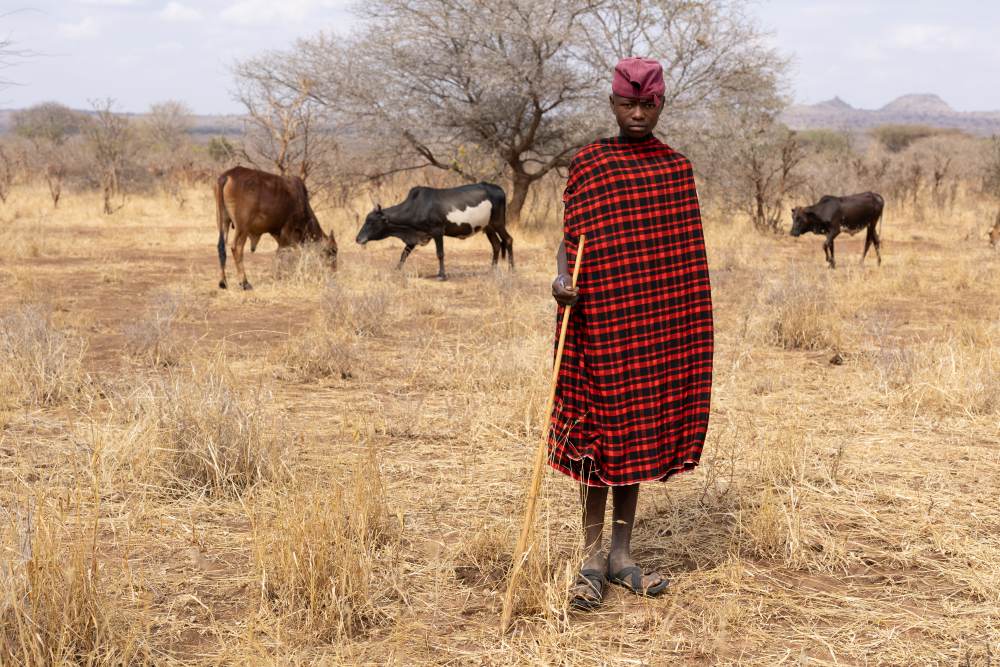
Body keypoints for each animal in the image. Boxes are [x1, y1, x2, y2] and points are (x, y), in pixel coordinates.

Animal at [355, 182, 512, 280]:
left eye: (371, 222)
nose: (358, 239)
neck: (417, 207)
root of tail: (499, 189)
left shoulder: (437, 232)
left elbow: (440, 254)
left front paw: (442, 275)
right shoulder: (415, 238)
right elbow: (404, 254)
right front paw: (396, 270)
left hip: (498, 223)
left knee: (508, 240)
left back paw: (512, 269)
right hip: (488, 227)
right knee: (496, 245)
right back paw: (492, 270)